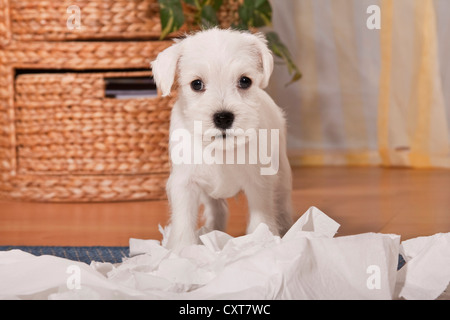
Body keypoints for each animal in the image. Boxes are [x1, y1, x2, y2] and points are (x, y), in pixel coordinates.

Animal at [150, 28, 292, 250]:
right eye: (196, 84)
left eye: (245, 81)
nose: (223, 117)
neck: (221, 149)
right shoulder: (185, 184)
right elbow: (183, 221)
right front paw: (182, 249)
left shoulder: (258, 182)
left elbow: (261, 217)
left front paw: (261, 244)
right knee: (217, 209)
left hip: (283, 175)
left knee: (283, 204)